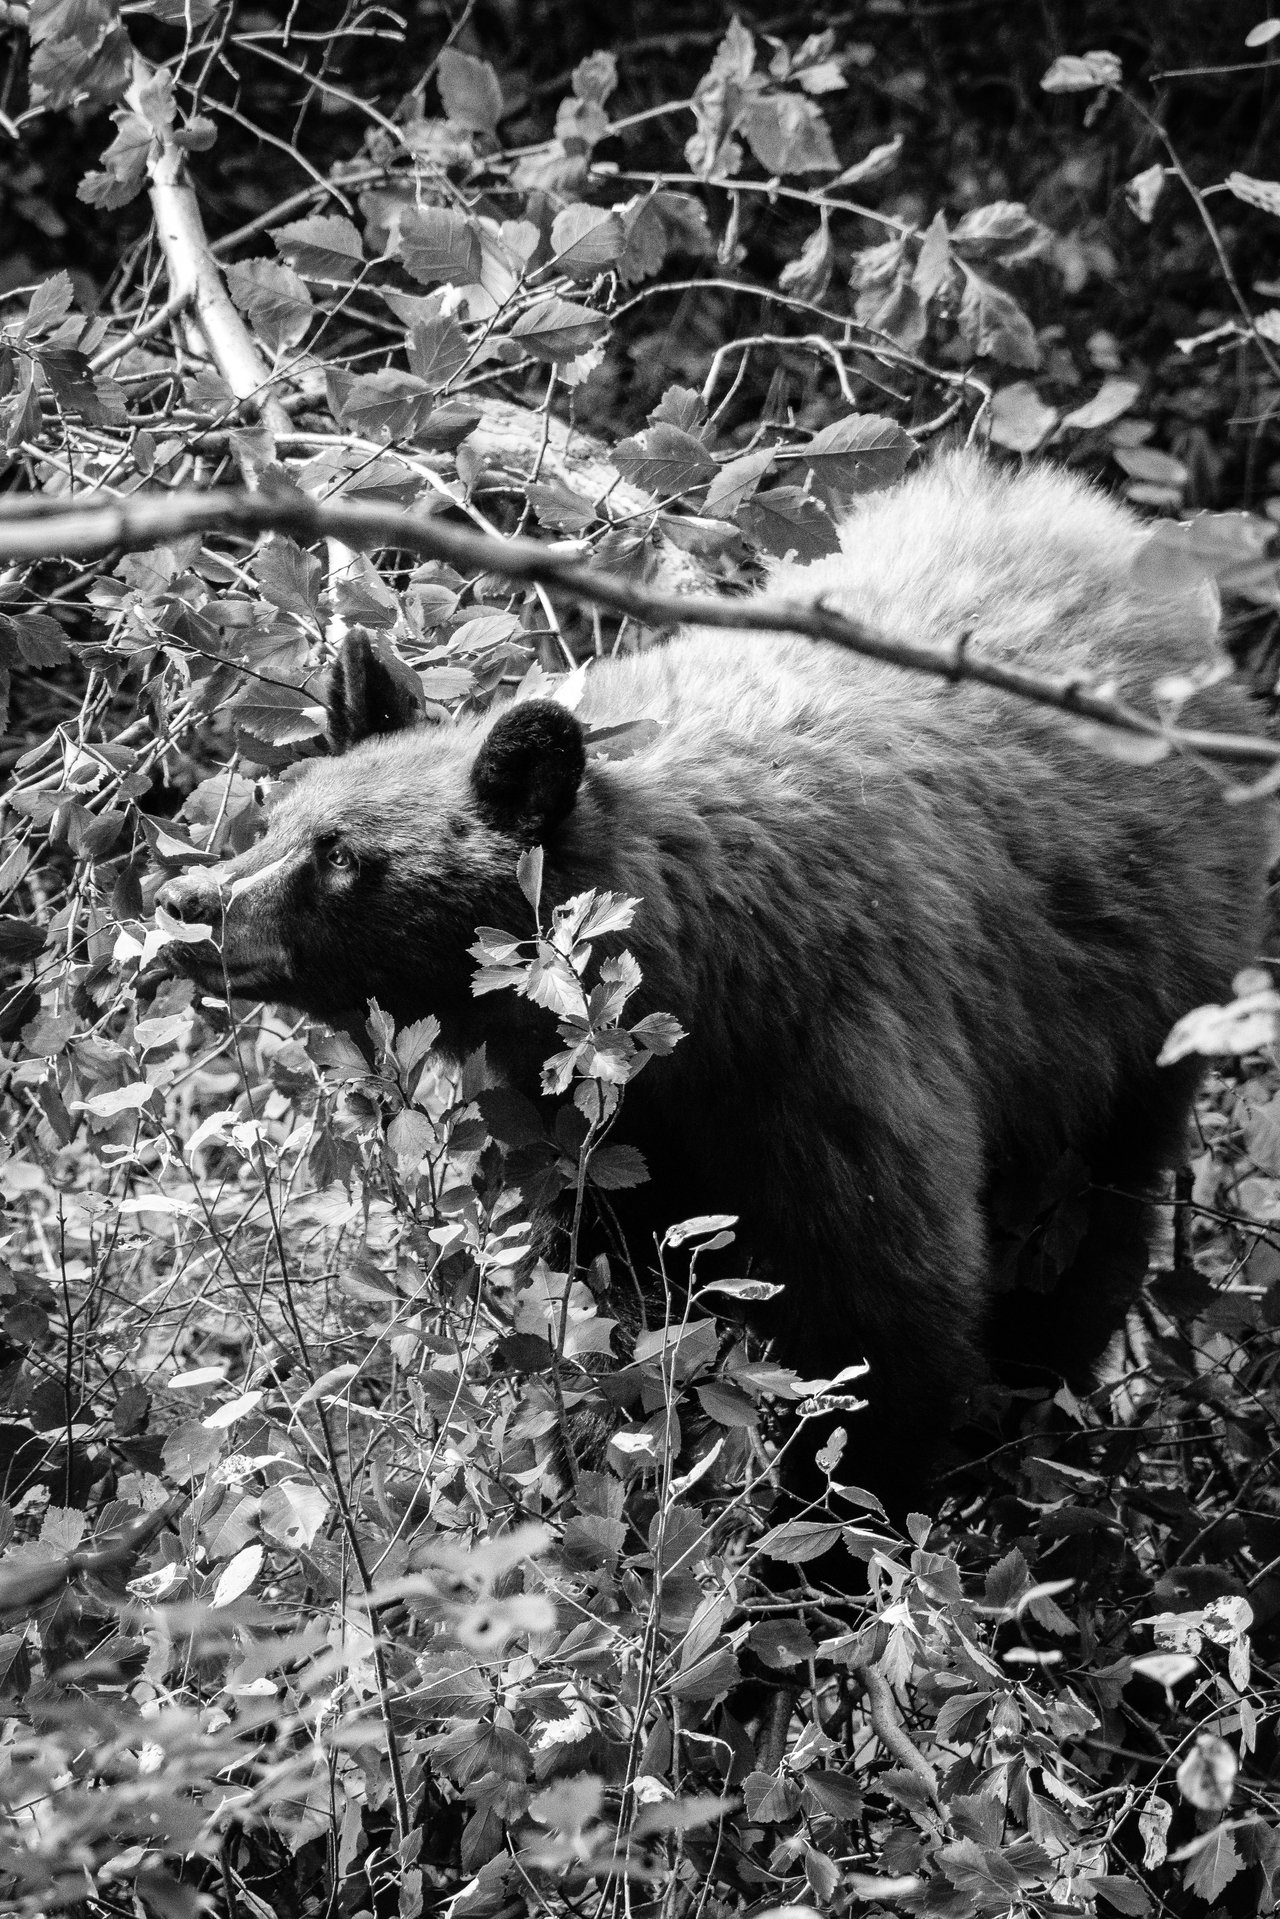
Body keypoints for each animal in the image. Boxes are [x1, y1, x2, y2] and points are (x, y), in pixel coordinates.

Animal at [156, 453, 1272, 1507]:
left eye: (343, 856)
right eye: (280, 809)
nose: (187, 903)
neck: (691, 979)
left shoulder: (832, 1048)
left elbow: (882, 1317)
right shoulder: (597, 1127)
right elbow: (601, 1287)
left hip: (1139, 1024)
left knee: (1081, 1243)